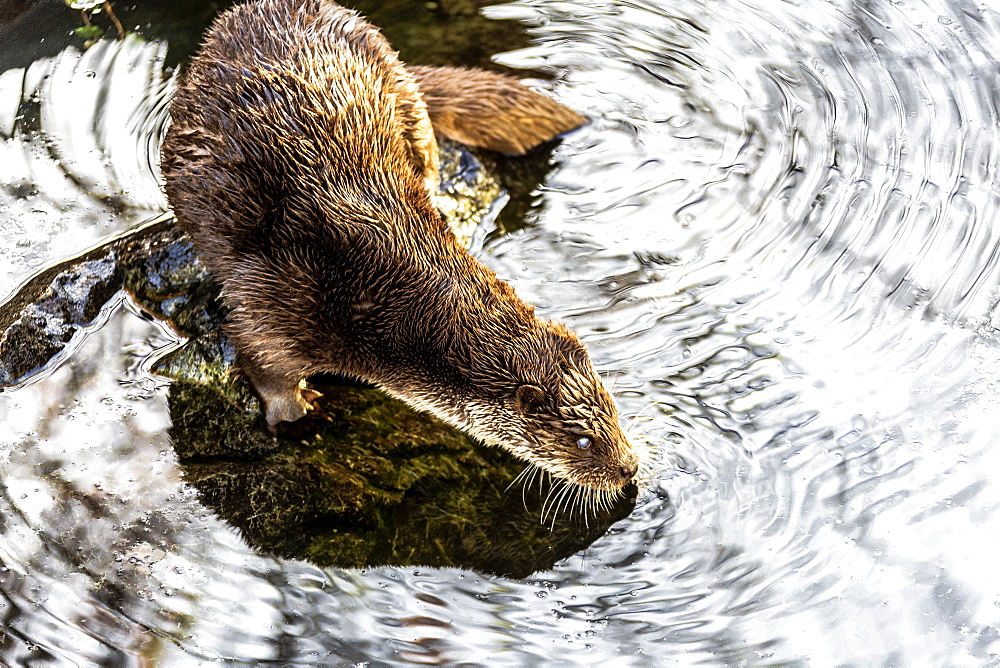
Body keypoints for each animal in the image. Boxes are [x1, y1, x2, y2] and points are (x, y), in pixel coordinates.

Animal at [159, 0, 636, 490]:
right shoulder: (280, 301)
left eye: (615, 411)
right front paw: (299, 420)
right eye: (583, 441)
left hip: (404, 94)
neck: (380, 292)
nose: (630, 467)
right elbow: (262, 363)